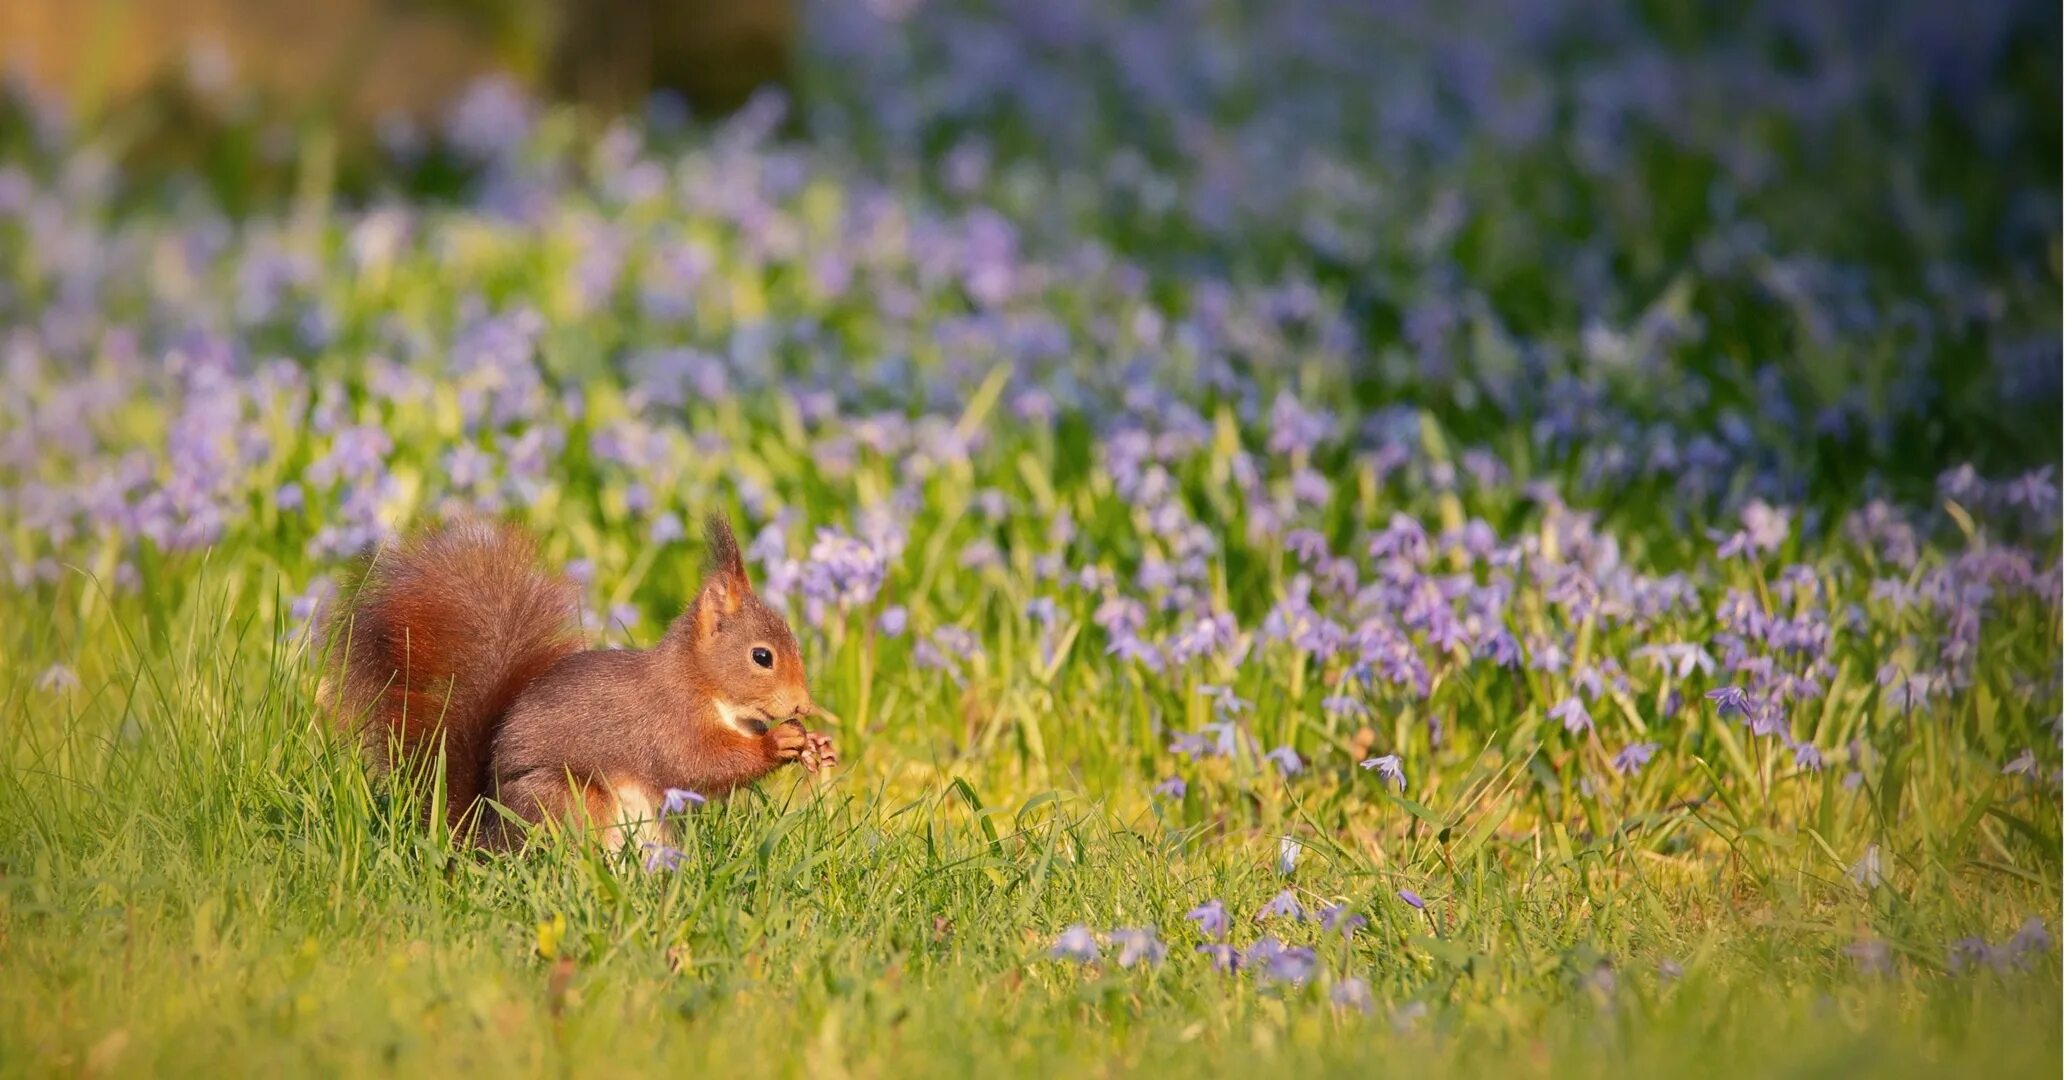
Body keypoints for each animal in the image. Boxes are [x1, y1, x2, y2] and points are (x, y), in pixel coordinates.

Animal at [324, 513, 839, 848]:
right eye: (761, 656)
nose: (803, 704)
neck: (708, 689)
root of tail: (480, 841)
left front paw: (816, 745)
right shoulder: (666, 720)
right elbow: (698, 763)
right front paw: (780, 743)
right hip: (569, 802)